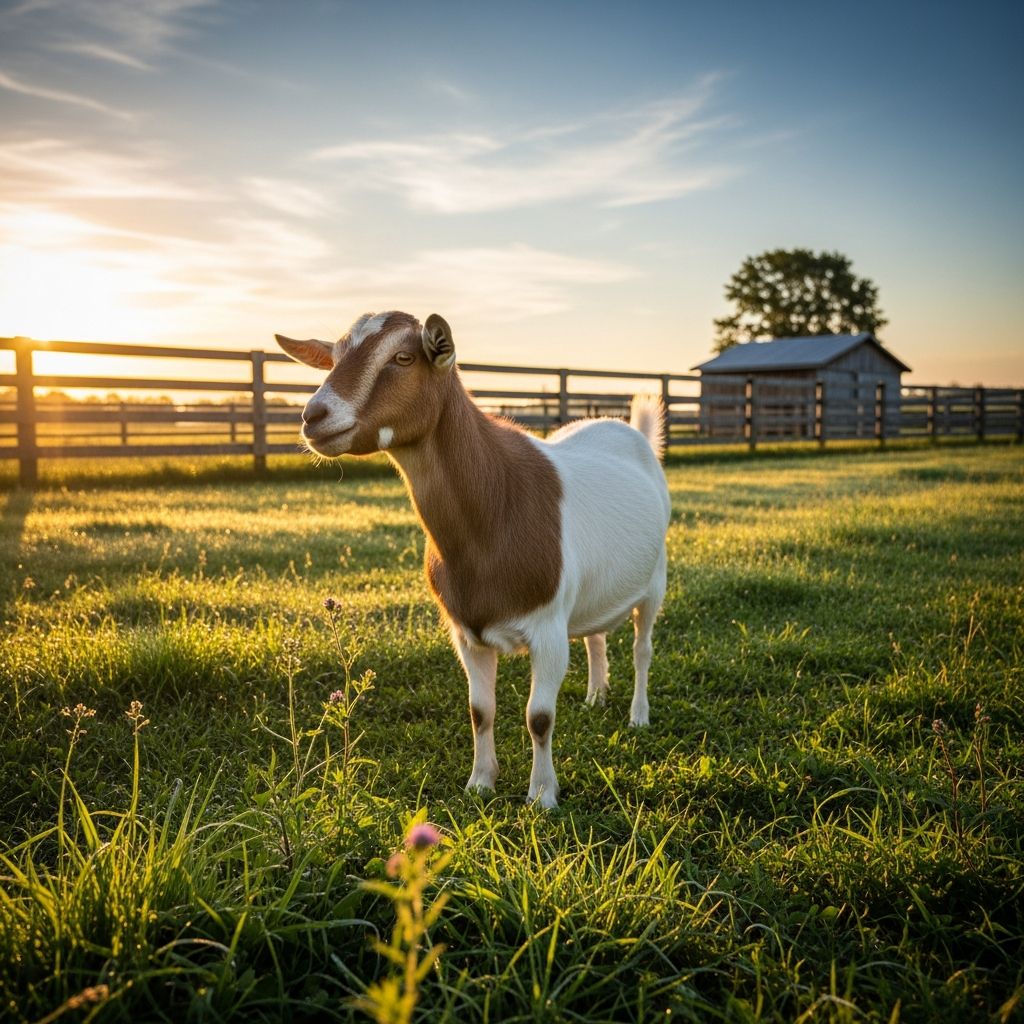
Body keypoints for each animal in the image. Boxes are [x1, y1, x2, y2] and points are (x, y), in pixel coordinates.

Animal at [276, 311, 671, 807]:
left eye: (403, 357)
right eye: (335, 356)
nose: (313, 416)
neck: (495, 502)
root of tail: (627, 430)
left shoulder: (548, 628)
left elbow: (539, 717)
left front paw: (542, 796)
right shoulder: (466, 632)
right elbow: (480, 710)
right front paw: (480, 783)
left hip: (656, 581)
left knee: (642, 649)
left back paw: (639, 715)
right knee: (595, 637)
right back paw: (596, 697)